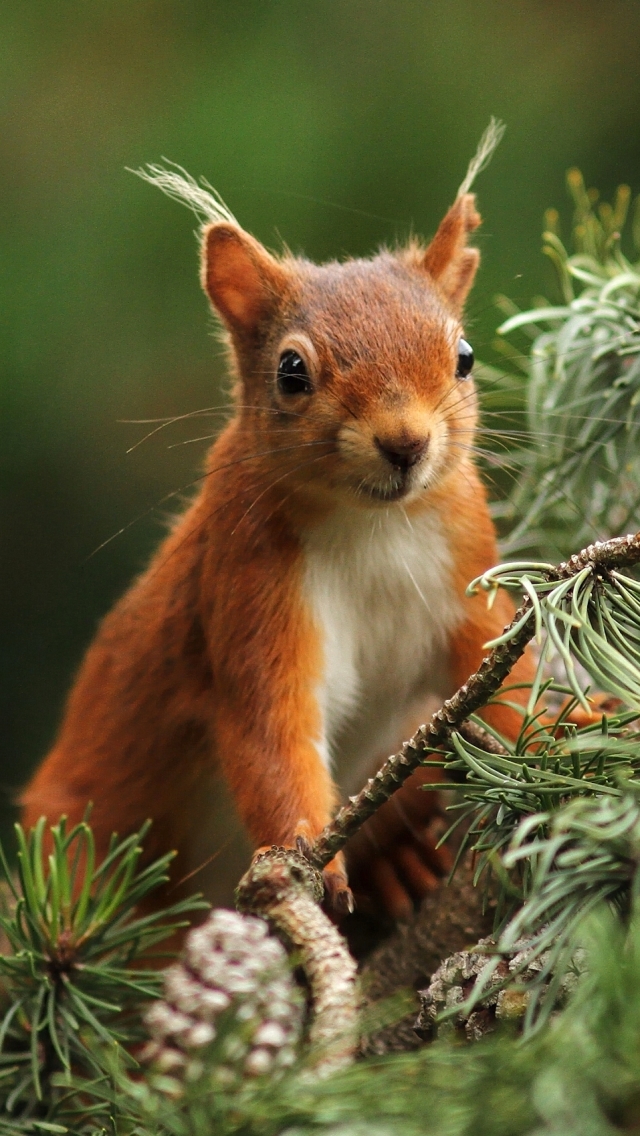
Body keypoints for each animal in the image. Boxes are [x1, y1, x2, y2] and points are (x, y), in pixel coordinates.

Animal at [21, 162, 536, 922]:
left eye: (465, 357)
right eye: (292, 371)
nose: (405, 443)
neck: (372, 525)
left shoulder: (467, 569)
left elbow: (503, 678)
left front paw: (572, 726)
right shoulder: (248, 590)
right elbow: (272, 736)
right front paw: (309, 862)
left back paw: (404, 858)